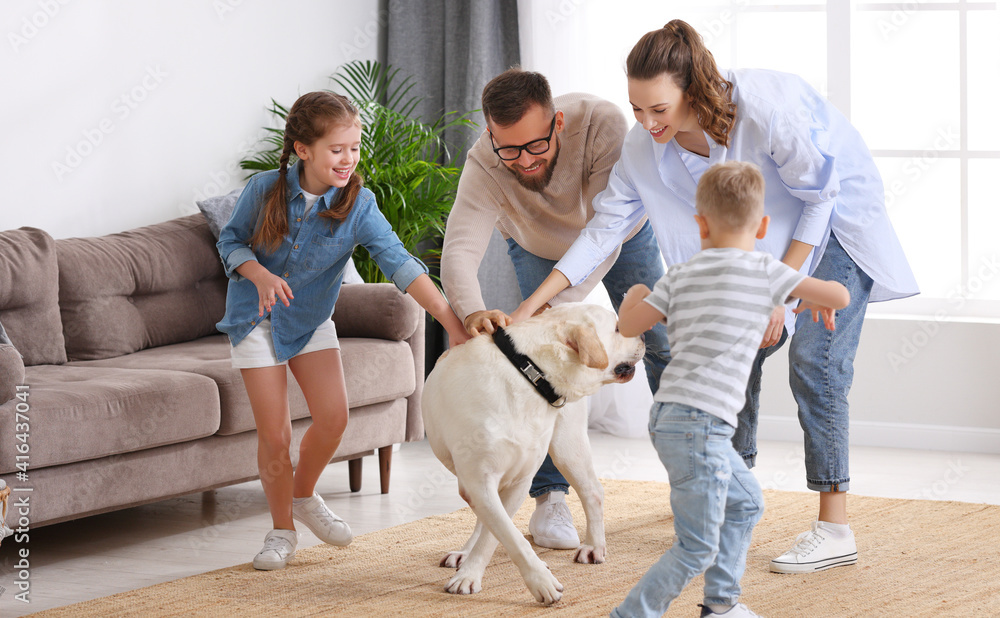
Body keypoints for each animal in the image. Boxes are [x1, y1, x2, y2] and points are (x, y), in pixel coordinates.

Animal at [420, 302, 640, 600]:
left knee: (593, 492)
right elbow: (502, 532)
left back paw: (594, 547)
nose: (643, 336)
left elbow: (498, 534)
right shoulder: (479, 481)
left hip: (567, 447)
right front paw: (479, 572)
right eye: (617, 328)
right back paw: (465, 552)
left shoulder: (519, 480)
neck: (529, 373)